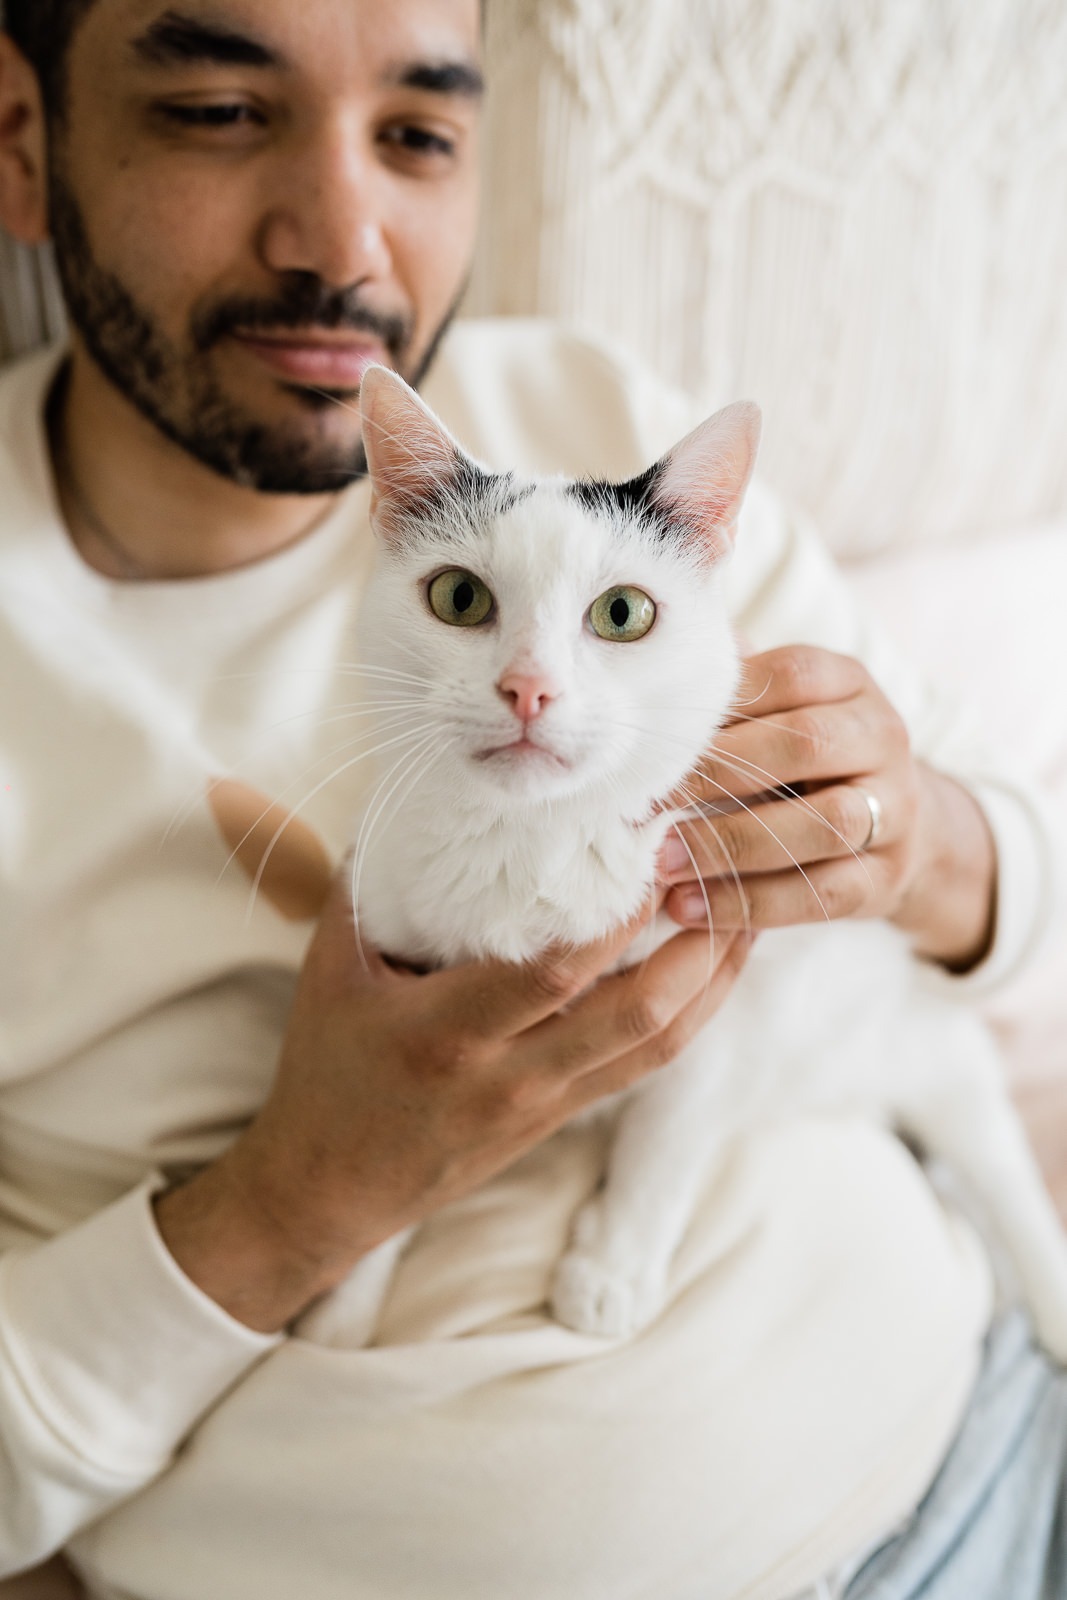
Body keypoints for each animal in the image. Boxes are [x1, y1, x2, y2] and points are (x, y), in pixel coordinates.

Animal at [294, 363, 1067, 1350]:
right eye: (458, 599)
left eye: (622, 614)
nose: (528, 688)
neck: (537, 846)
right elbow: (391, 1171)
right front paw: (343, 1309)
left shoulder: (726, 1004)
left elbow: (664, 1143)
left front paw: (611, 1273)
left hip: (934, 1053)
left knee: (1001, 1166)